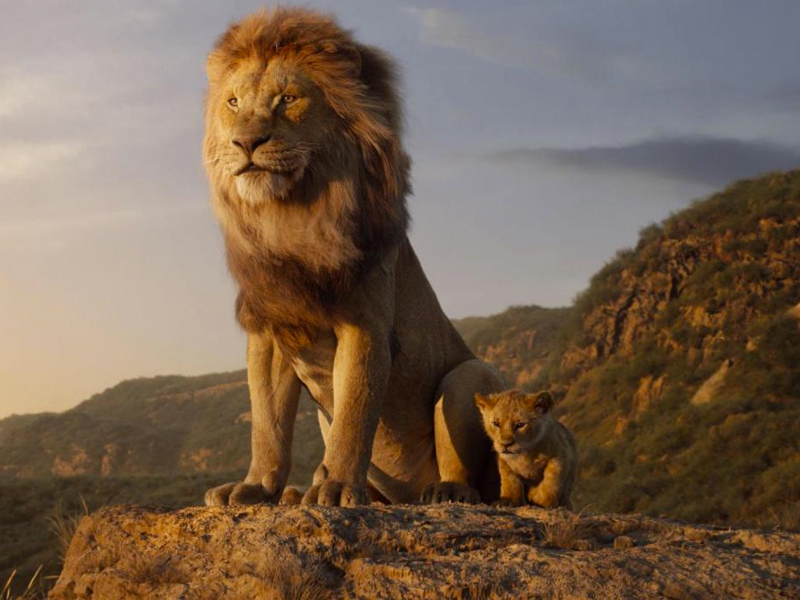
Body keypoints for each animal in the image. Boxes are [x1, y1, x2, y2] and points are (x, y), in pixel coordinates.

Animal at [202, 7, 504, 508]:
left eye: (288, 99)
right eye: (232, 103)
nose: (246, 143)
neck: (291, 217)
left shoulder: (365, 324)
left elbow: (354, 414)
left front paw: (339, 487)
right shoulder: (270, 331)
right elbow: (268, 424)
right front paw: (256, 486)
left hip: (469, 375)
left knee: (471, 475)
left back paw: (444, 491)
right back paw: (299, 492)